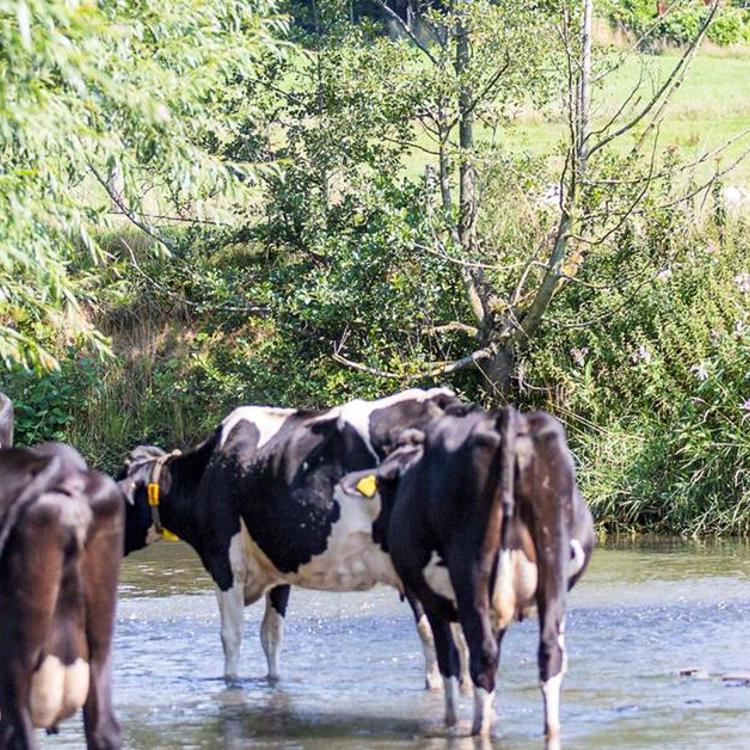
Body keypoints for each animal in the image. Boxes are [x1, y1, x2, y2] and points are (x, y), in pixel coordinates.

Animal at [118, 388, 461, 687]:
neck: (206, 472)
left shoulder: (225, 563)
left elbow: (231, 636)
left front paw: (230, 683)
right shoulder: (277, 566)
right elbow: (271, 635)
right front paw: (273, 682)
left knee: (436, 635)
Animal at [342, 405, 595, 739]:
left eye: (383, 488)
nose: (378, 530)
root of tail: (506, 418)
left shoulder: (430, 599)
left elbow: (447, 657)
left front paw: (450, 721)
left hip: (472, 568)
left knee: (482, 656)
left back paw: (478, 729)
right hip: (551, 562)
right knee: (548, 652)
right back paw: (549, 730)